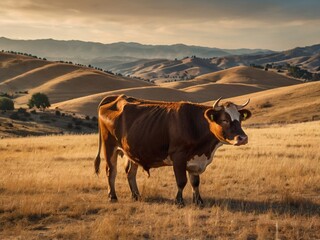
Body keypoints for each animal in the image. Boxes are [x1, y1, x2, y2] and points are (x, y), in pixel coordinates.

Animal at [94, 94, 251, 205]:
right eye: (224, 120)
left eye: (240, 119)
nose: (243, 138)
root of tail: (117, 97)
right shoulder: (178, 156)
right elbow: (181, 181)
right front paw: (179, 201)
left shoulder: (196, 160)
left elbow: (195, 182)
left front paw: (198, 201)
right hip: (109, 147)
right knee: (111, 171)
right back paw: (112, 197)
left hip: (131, 151)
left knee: (130, 172)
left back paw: (136, 196)